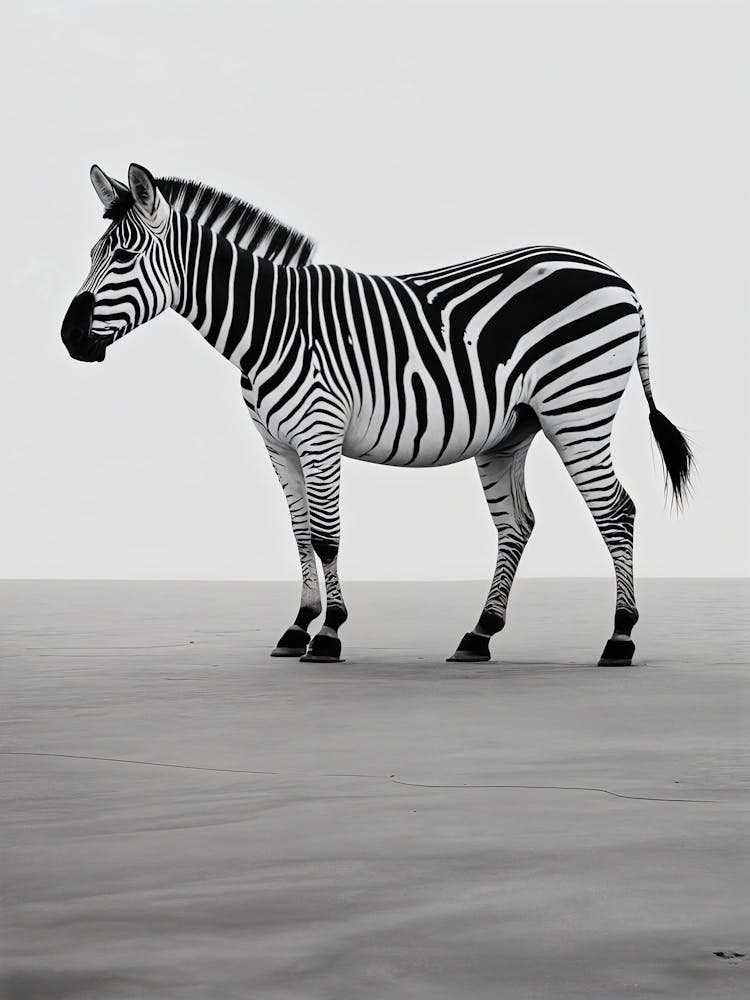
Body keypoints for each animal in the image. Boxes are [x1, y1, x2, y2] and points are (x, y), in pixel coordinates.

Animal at [62, 162, 692, 666]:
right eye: (92, 256)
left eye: (124, 257)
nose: (69, 338)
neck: (269, 326)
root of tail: (617, 278)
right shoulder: (277, 444)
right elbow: (298, 532)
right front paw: (298, 627)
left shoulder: (318, 429)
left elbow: (326, 536)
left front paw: (329, 635)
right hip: (513, 430)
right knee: (517, 523)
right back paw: (478, 636)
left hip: (576, 409)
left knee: (617, 512)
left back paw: (620, 638)